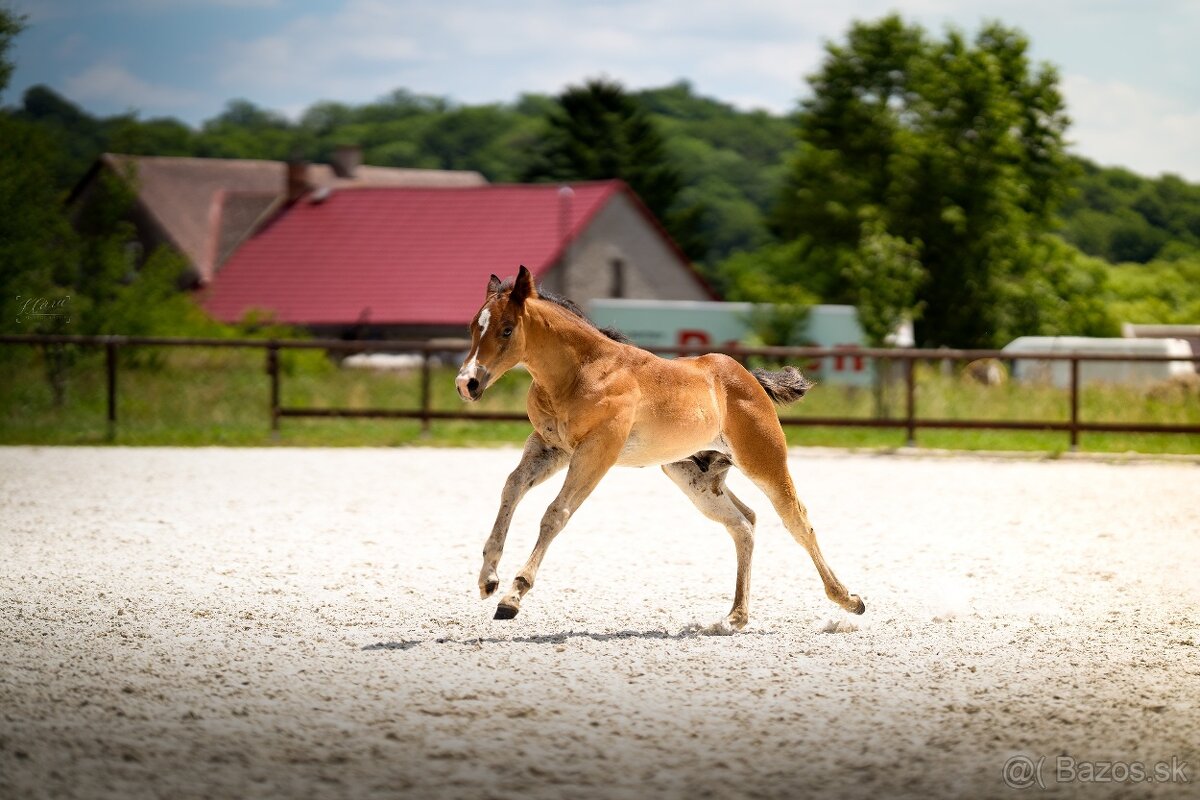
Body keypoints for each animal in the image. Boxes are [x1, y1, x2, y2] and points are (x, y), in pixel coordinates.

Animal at [455, 266, 865, 630]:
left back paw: (849, 600)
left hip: (764, 461)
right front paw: (488, 579)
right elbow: (512, 488)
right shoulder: (551, 447)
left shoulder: (597, 450)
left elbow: (556, 513)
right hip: (695, 478)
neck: (581, 372)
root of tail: (750, 379)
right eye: (473, 327)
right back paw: (734, 618)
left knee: (797, 520)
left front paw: (512, 596)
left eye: (507, 329)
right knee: (744, 522)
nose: (467, 383)